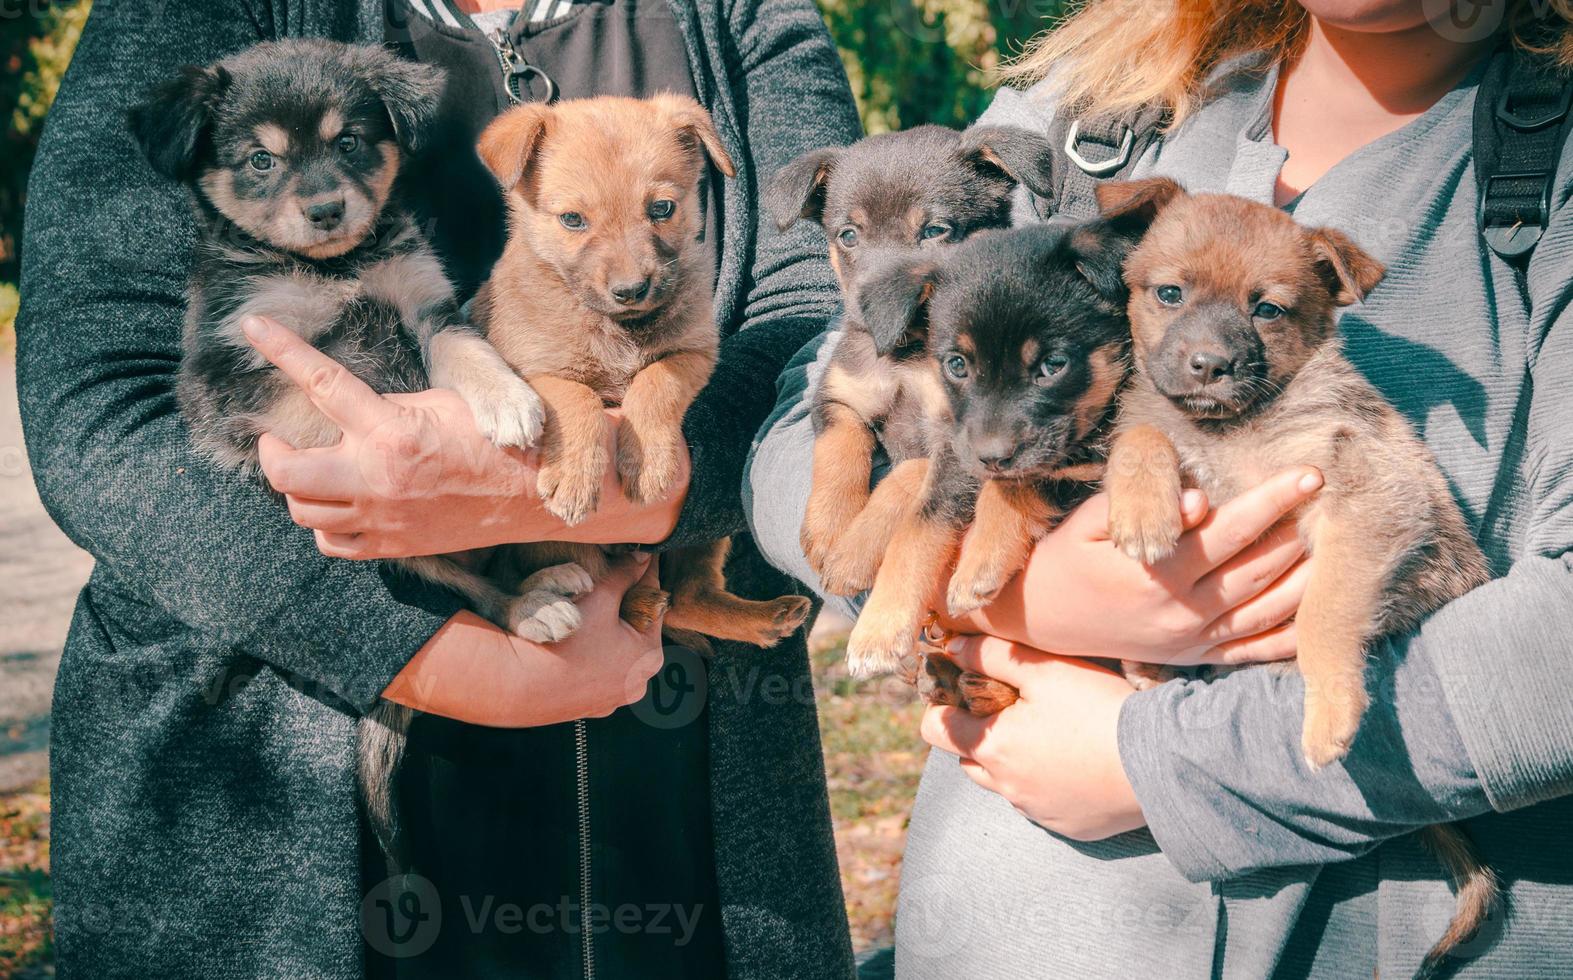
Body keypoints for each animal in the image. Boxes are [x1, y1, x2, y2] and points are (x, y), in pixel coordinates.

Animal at [836, 221, 1145, 698]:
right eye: (957, 365)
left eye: (1054, 364)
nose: (992, 457)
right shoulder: (957, 446)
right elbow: (920, 509)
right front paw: (865, 586)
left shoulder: (1086, 464)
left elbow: (1013, 487)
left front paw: (977, 565)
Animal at [1107, 176, 1497, 968]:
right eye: (1169, 293)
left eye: (1267, 309)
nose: (1208, 365)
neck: (1229, 433)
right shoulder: (1172, 432)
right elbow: (1144, 426)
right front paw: (1140, 505)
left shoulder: (1366, 497)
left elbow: (1324, 612)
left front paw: (1331, 715)